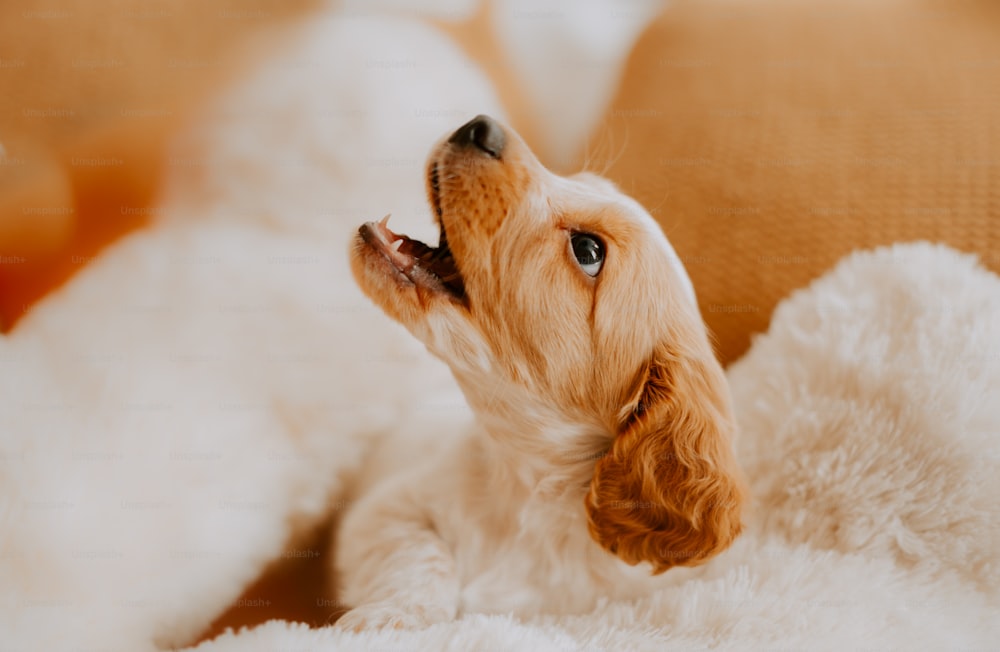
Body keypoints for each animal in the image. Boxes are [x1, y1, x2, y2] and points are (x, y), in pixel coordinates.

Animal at [334, 114, 744, 628]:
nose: (480, 124)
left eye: (588, 250)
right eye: (577, 181)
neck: (524, 491)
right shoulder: (381, 513)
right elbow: (421, 555)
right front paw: (392, 617)